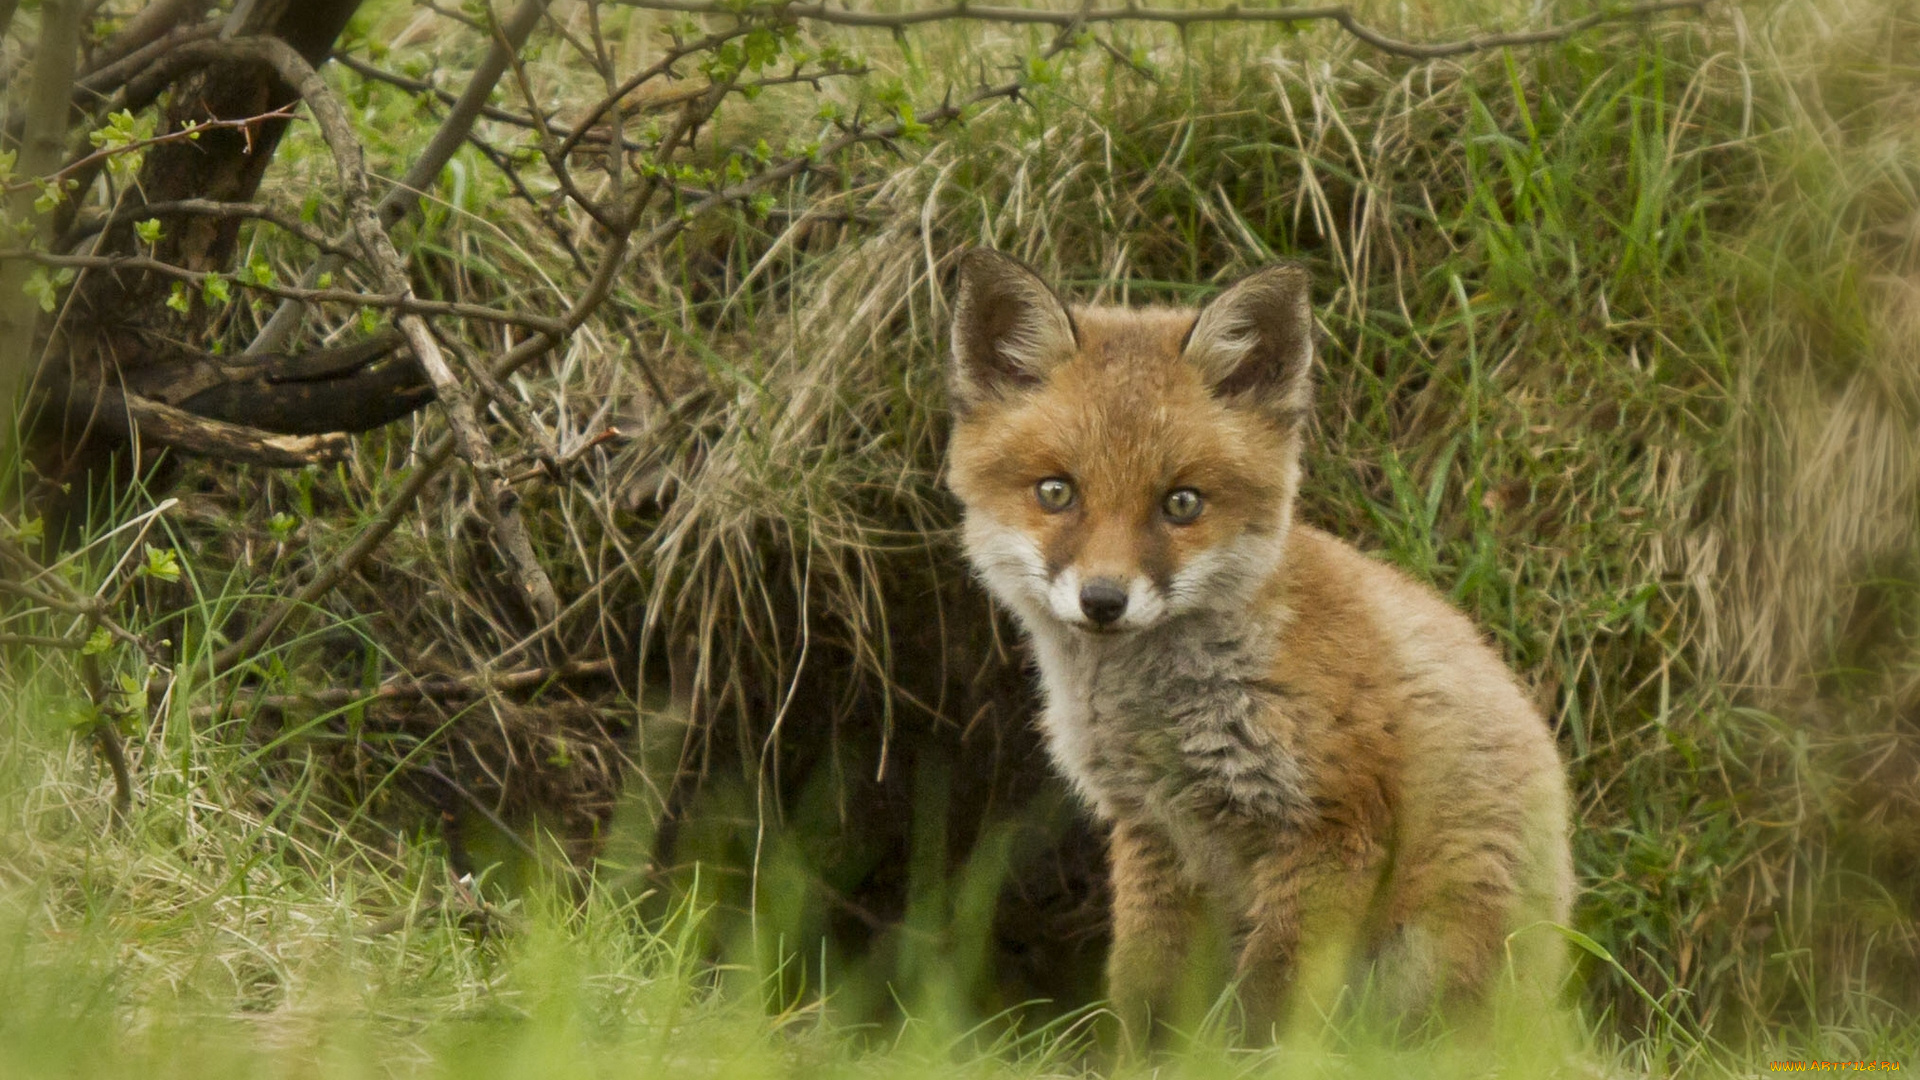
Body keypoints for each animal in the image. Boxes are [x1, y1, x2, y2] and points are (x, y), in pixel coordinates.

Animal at [944, 249, 1574, 1045]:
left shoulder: (1331, 826)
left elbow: (1270, 1003)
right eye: (1056, 492)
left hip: (1432, 947)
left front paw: (1259, 1057)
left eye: (1181, 503)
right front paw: (1145, 1061)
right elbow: (1145, 989)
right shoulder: (1153, 833)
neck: (1166, 715)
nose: (1104, 601)